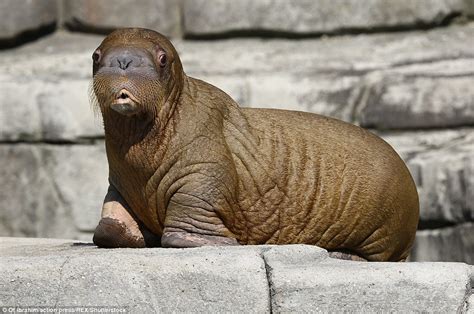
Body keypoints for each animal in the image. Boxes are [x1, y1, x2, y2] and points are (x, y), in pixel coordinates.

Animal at [90, 28, 418, 262]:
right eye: (95, 56)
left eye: (161, 59)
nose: (124, 61)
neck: (140, 162)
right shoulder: (119, 185)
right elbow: (107, 229)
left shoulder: (202, 171)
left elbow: (185, 223)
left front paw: (223, 241)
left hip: (386, 227)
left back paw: (342, 253)